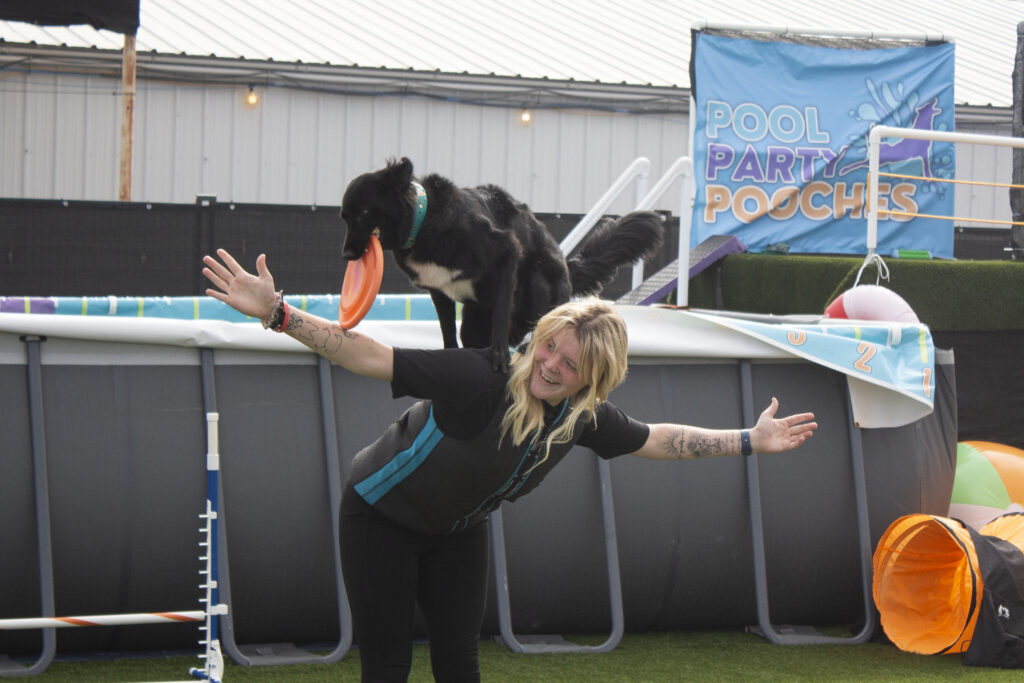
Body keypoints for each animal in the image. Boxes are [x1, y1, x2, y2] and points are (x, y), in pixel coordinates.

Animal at [339, 157, 667, 370]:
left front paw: (498, 353)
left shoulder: (506, 251)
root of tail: (566, 265)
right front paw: (448, 355)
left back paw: (524, 344)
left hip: (537, 274)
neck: (424, 220)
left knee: (539, 323)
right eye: (344, 216)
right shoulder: (438, 289)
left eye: (363, 213)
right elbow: (446, 328)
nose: (347, 256)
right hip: (473, 322)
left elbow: (500, 313)